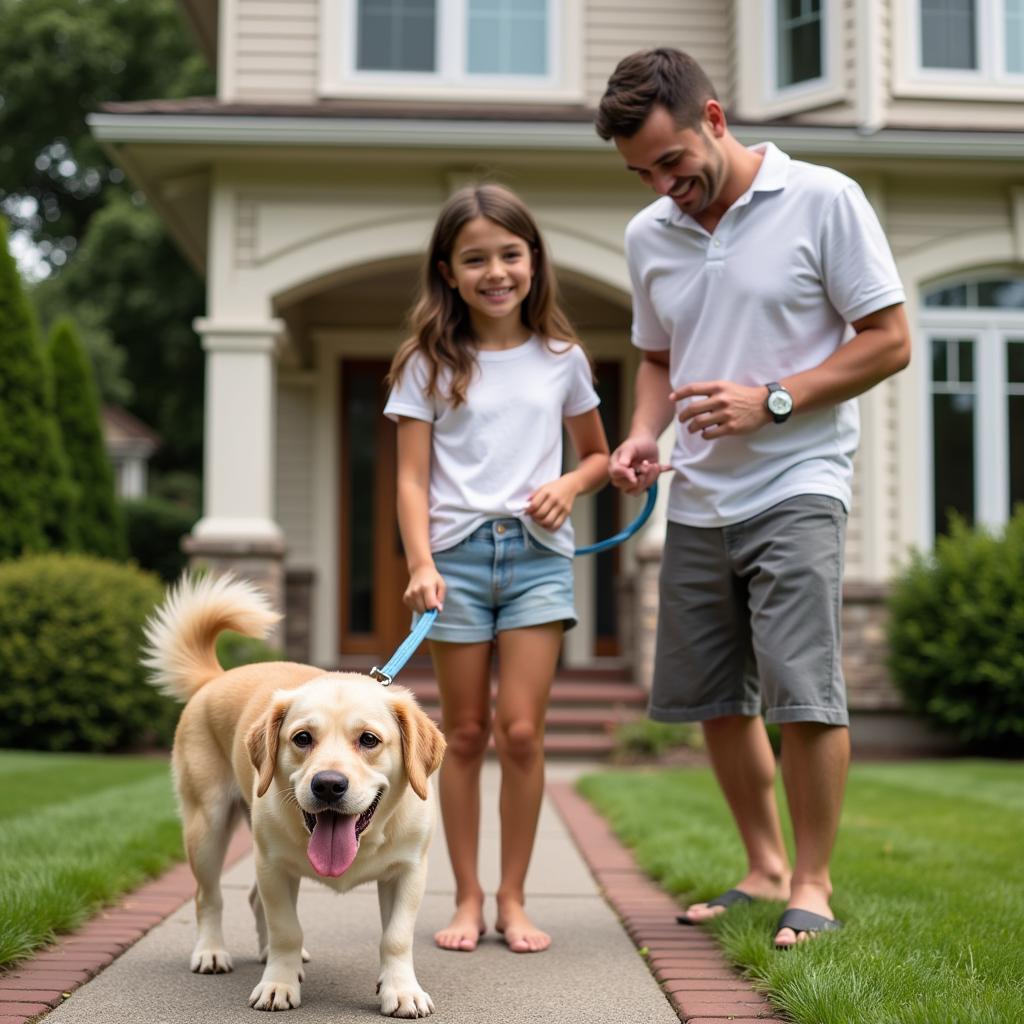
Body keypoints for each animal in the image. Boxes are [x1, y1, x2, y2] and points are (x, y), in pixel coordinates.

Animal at [142, 577, 446, 1015]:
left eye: (369, 740)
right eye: (302, 738)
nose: (329, 784)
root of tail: (213, 678)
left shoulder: (409, 872)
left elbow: (396, 937)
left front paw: (401, 990)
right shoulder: (272, 866)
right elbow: (286, 928)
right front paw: (279, 985)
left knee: (252, 900)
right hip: (207, 828)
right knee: (208, 896)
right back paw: (212, 951)